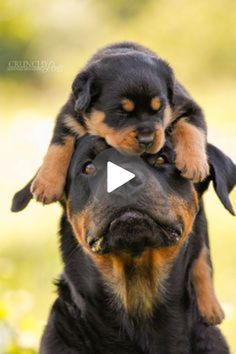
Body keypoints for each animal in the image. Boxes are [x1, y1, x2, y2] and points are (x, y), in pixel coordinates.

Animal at [30, 42, 208, 206]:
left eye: (159, 108)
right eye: (120, 112)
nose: (147, 140)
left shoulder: (188, 106)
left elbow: (191, 130)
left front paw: (194, 164)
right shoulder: (69, 115)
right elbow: (58, 146)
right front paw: (46, 184)